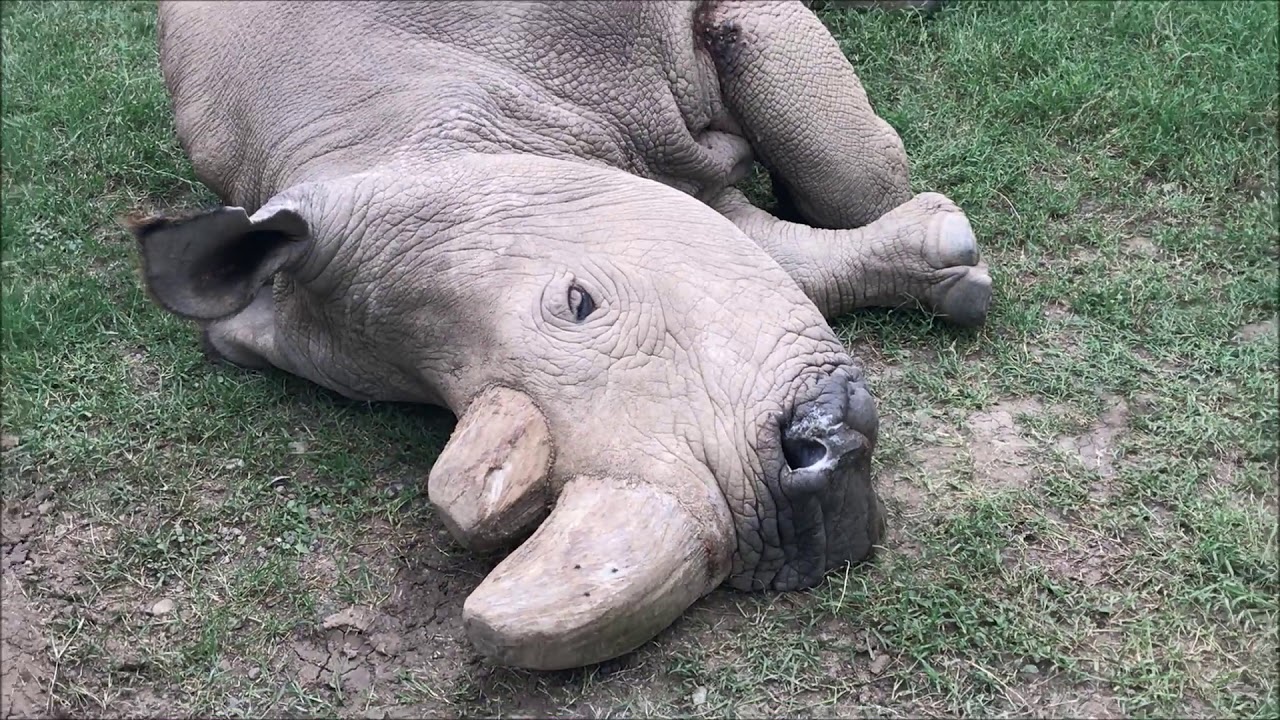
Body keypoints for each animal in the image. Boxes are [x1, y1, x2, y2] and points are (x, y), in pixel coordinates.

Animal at [128, 0, 991, 671]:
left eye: (580, 303)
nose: (802, 499)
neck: (390, 119)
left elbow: (857, 173)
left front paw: (945, 243)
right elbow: (762, 243)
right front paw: (943, 261)